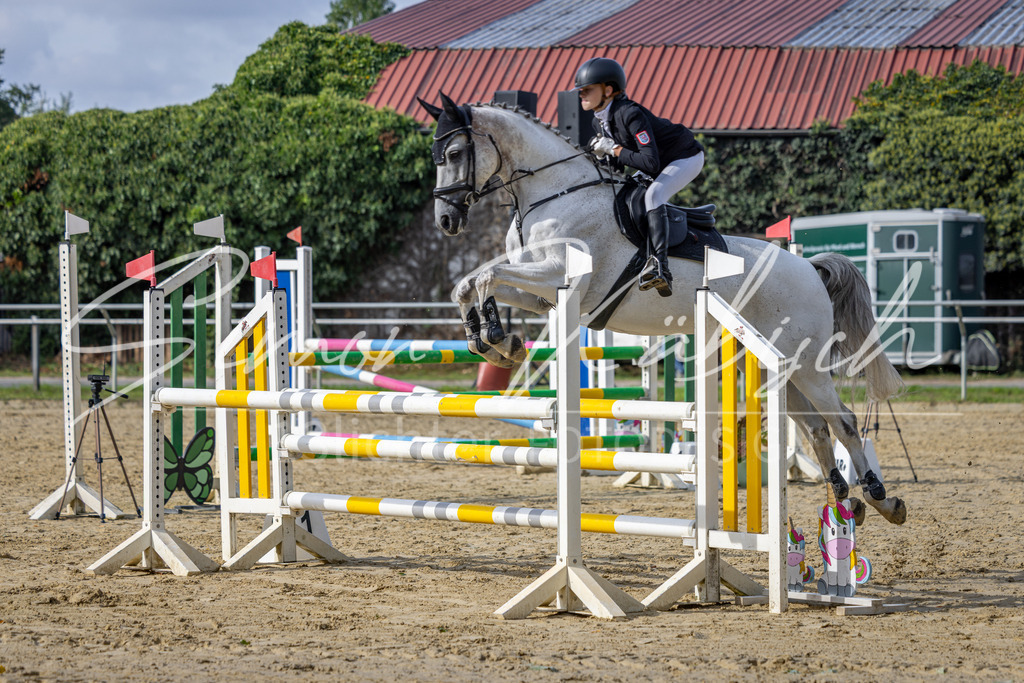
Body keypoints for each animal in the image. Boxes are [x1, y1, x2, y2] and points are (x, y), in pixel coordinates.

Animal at [419, 93, 906, 526]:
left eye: (456, 152)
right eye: (436, 155)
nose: (445, 221)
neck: (552, 194)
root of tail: (809, 267)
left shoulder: (555, 274)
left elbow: (485, 276)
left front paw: (496, 339)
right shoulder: (540, 293)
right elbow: (471, 282)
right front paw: (494, 343)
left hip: (805, 363)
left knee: (844, 422)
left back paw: (881, 498)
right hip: (779, 366)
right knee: (817, 427)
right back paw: (847, 497)